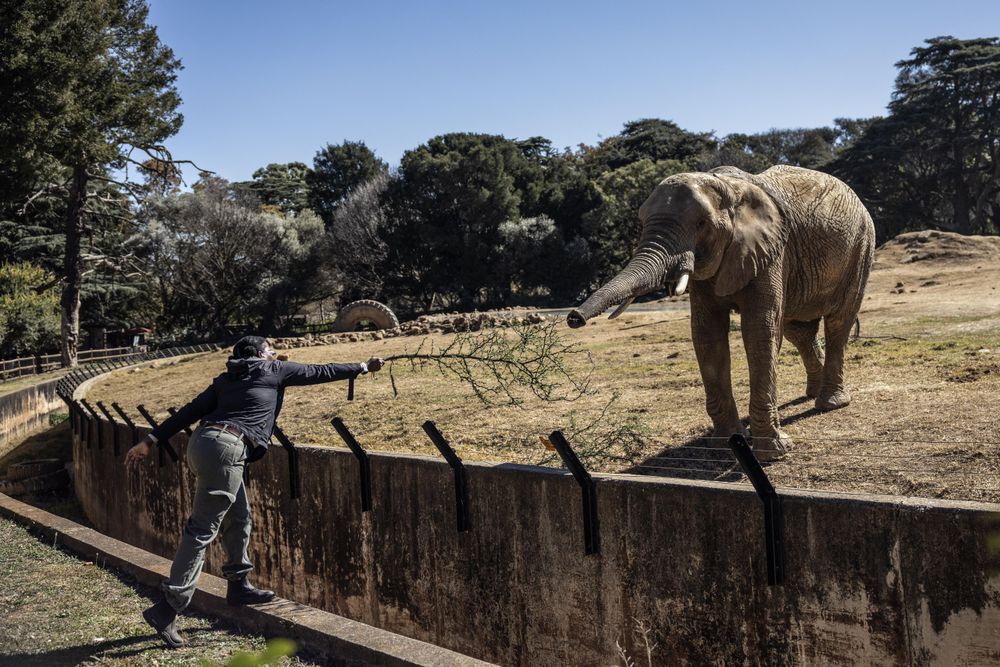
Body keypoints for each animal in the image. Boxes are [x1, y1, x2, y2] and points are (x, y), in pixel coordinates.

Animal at [567, 165, 875, 460]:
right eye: (642, 222)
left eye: (701, 224)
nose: (573, 318)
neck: (726, 187)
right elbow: (707, 334)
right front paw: (726, 445)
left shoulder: (772, 251)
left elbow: (760, 331)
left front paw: (774, 453)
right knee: (798, 330)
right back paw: (812, 392)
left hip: (861, 248)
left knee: (838, 322)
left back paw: (830, 403)